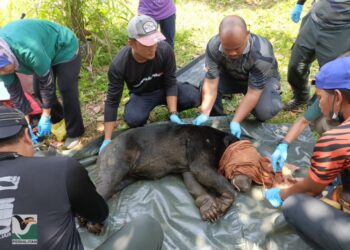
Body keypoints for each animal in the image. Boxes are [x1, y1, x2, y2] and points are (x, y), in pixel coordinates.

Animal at [83, 124, 239, 233]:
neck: (217, 139)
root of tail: (102, 151)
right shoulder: (200, 144)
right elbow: (202, 169)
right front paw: (226, 200)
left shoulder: (187, 166)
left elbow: (193, 180)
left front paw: (209, 209)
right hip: (116, 157)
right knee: (105, 184)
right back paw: (91, 222)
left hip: (125, 177)